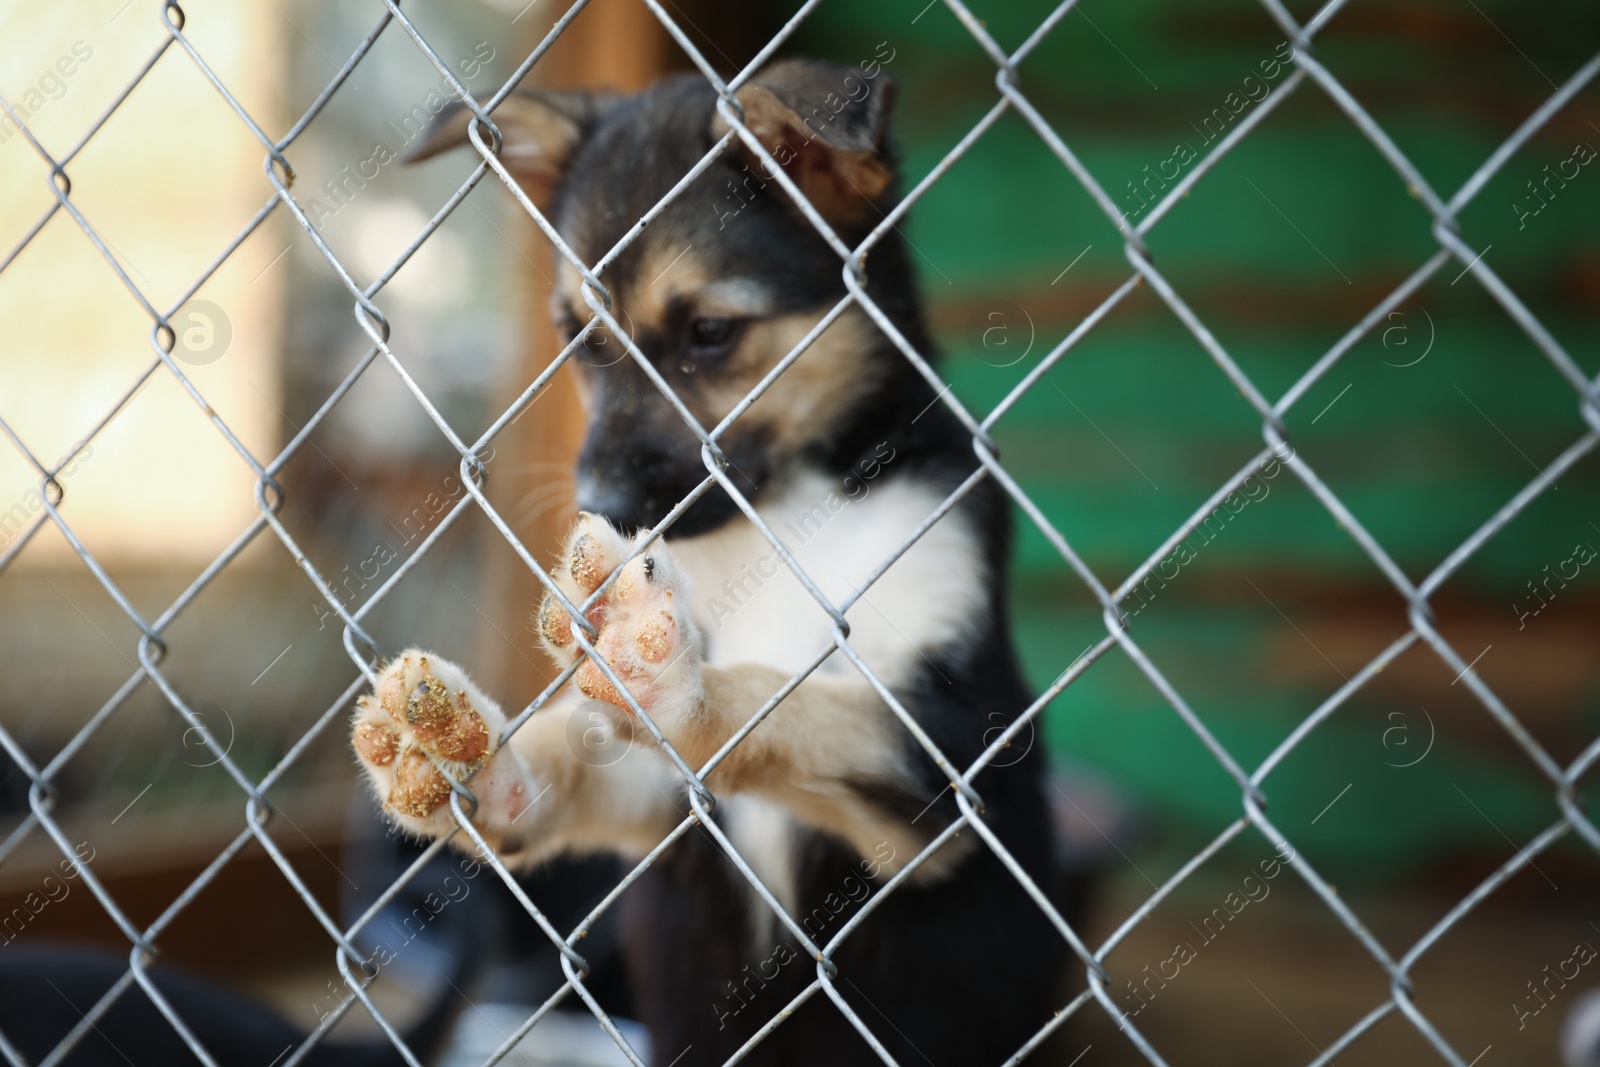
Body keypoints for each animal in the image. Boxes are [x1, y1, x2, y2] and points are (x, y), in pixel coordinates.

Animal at [356, 60, 1068, 1067]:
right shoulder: (668, 808)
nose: (601, 504)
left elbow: (797, 702)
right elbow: (572, 752)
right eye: (579, 338)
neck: (784, 515)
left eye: (710, 333)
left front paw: (678, 686)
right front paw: (465, 759)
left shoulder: (954, 774)